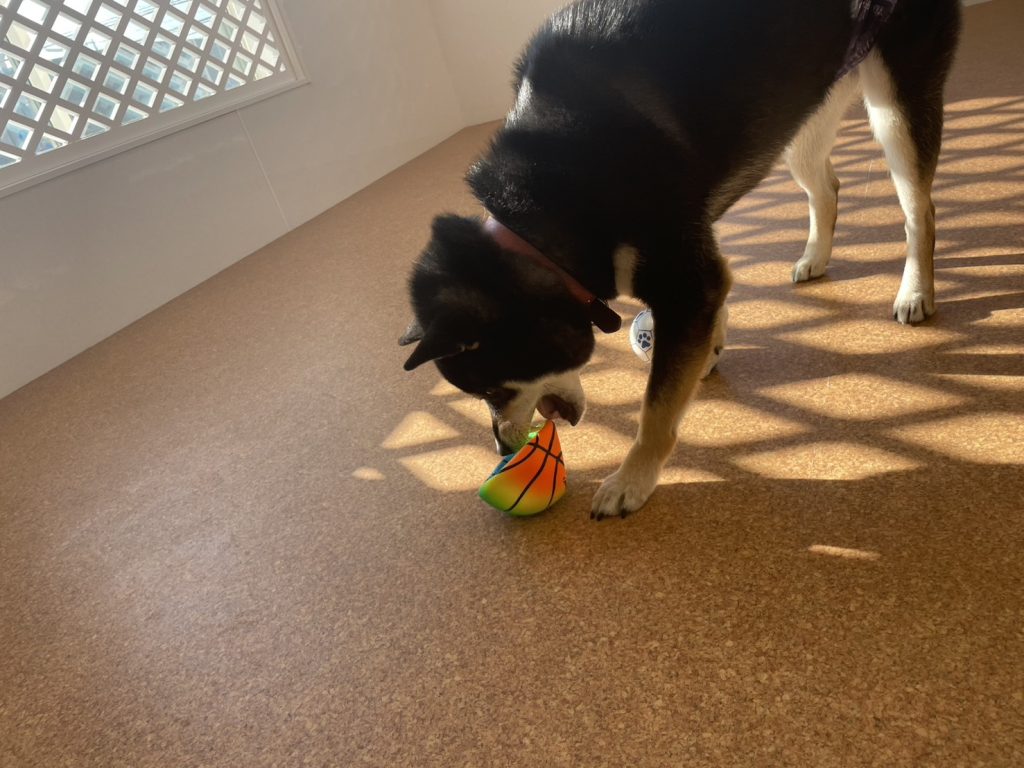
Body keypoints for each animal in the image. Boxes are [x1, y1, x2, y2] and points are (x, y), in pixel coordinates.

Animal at [400, 0, 962, 519]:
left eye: (491, 388)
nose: (500, 446)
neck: (542, 215)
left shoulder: (688, 281)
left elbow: (656, 408)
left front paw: (632, 479)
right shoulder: (698, 272)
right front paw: (711, 349)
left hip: (894, 105)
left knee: (921, 210)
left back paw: (915, 290)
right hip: (803, 115)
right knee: (828, 188)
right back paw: (815, 257)